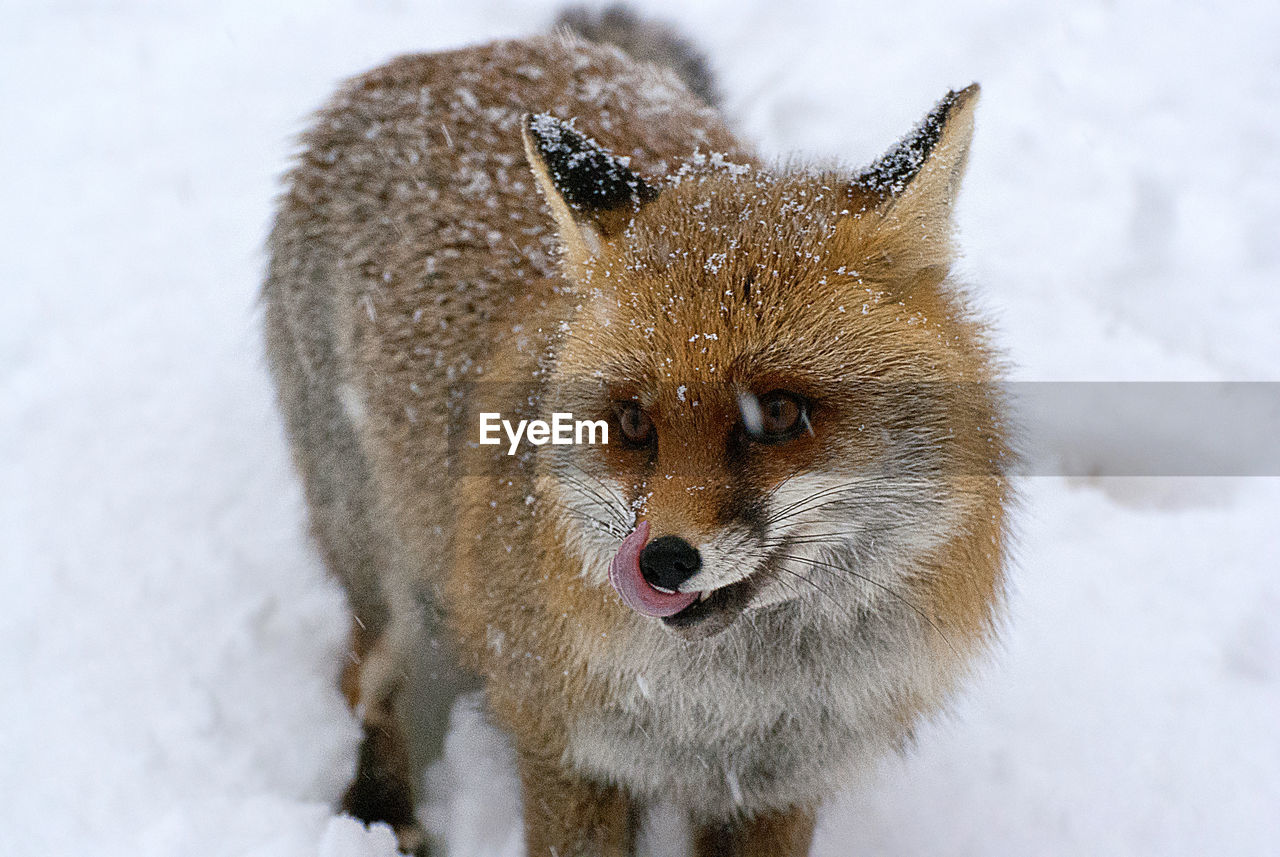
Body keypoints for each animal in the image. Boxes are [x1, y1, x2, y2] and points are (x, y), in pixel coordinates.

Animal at [264, 3, 1013, 854]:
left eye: (779, 413)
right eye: (630, 422)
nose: (662, 560)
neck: (735, 705)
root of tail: (445, 56)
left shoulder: (777, 786)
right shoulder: (567, 747)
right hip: (373, 558)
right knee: (363, 676)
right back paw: (378, 807)